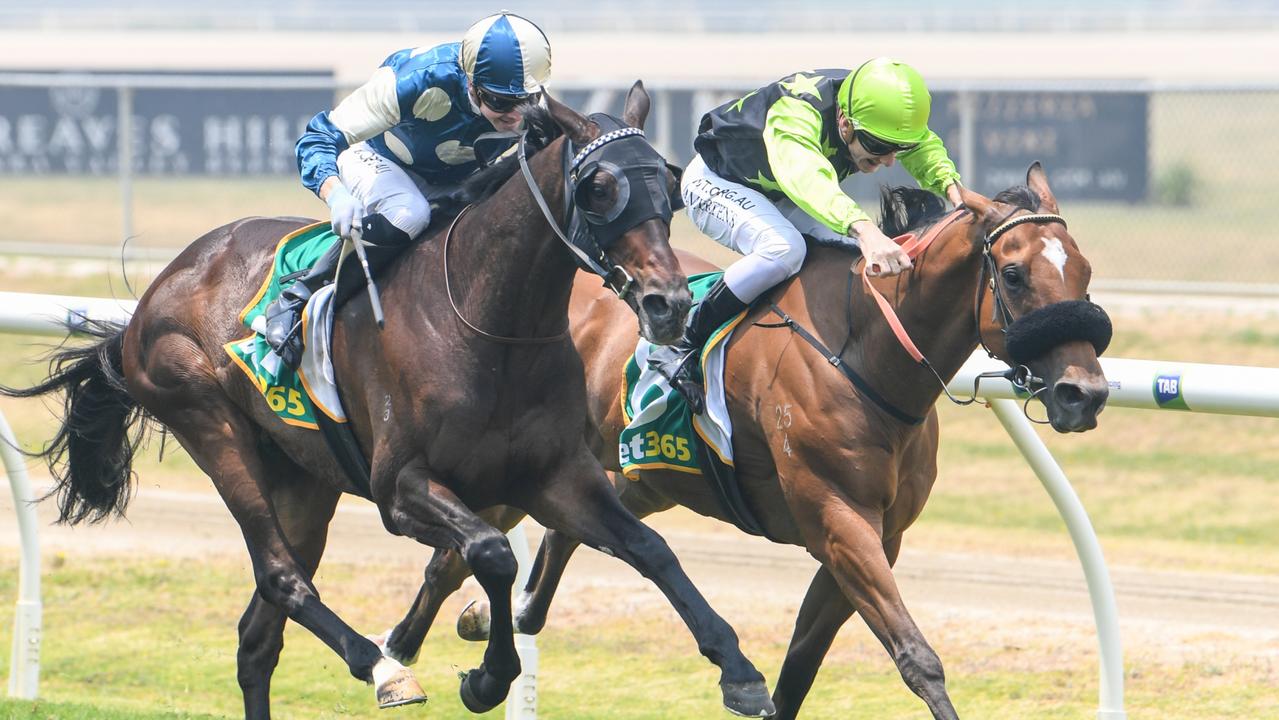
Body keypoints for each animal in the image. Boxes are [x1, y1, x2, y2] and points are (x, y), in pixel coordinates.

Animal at [2, 85, 767, 720]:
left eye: (669, 184)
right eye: (600, 185)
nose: (668, 304)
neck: (489, 326)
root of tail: (157, 292)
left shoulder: (555, 475)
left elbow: (649, 549)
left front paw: (738, 669)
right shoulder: (401, 487)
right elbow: (492, 553)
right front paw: (485, 677)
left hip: (302, 480)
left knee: (257, 637)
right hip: (207, 420)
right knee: (280, 578)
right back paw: (381, 667)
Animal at [373, 164, 1110, 720]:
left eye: (1082, 269)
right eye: (1013, 275)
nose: (1084, 393)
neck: (864, 354)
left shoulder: (871, 537)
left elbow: (800, 668)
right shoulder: (839, 520)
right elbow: (916, 657)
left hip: (640, 477)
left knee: (554, 541)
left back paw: (484, 625)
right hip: (515, 468)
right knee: (451, 560)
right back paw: (404, 655)